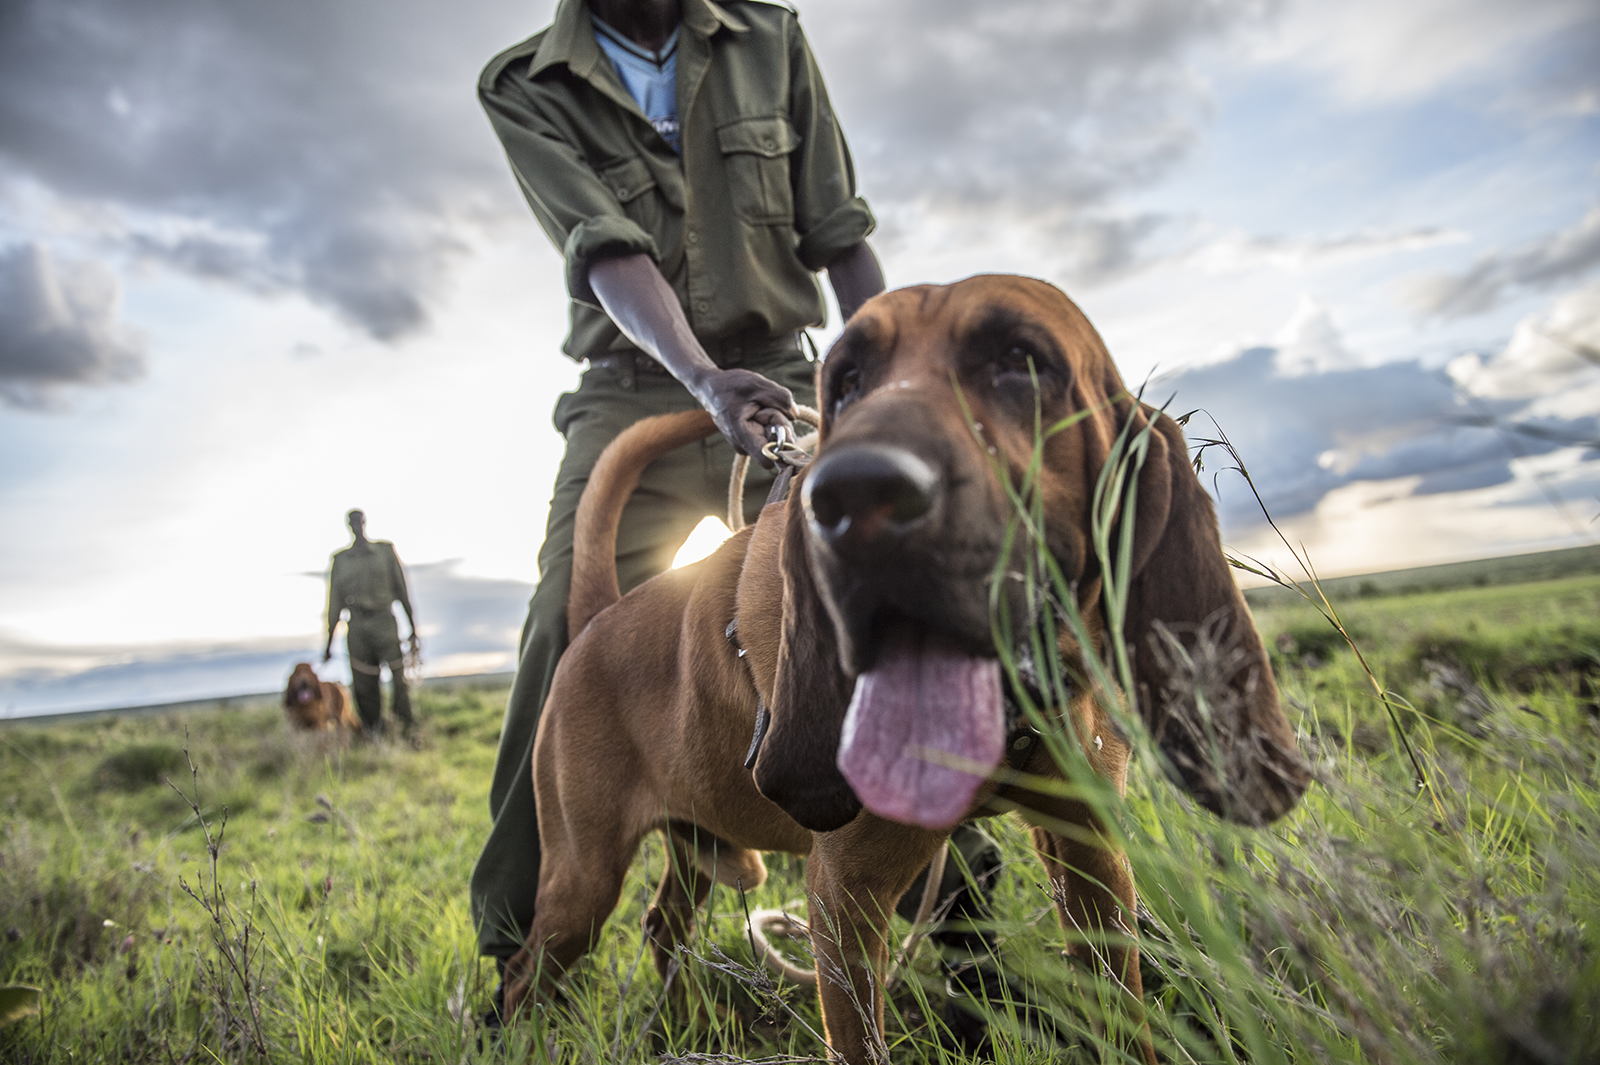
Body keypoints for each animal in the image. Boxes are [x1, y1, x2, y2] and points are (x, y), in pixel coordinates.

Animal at [505, 275, 1305, 1061]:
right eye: (845, 382)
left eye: (1021, 360)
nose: (852, 496)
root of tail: (597, 620)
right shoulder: (844, 897)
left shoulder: (1091, 856)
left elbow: (1126, 1017)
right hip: (580, 884)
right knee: (525, 972)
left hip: (694, 844)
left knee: (662, 926)